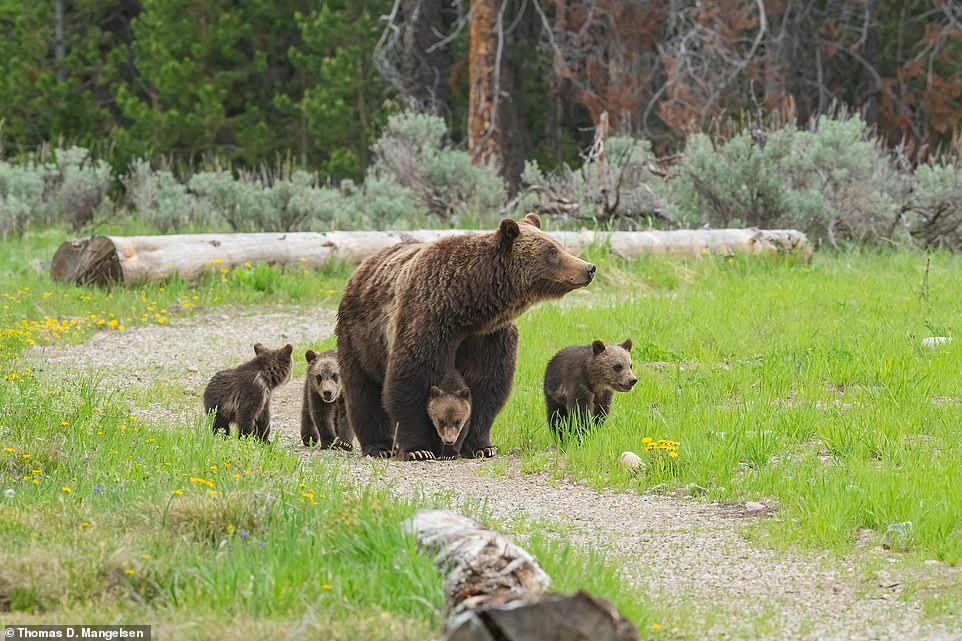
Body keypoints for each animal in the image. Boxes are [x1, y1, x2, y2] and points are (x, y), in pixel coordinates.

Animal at [336, 214, 592, 460]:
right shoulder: (427, 321)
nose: (589, 268)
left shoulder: (488, 337)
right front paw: (418, 449)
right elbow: (410, 380)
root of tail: (364, 265)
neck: (467, 305)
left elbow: (487, 385)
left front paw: (480, 446)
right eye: (552, 251)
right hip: (360, 337)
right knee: (363, 392)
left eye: (560, 245)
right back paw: (379, 446)